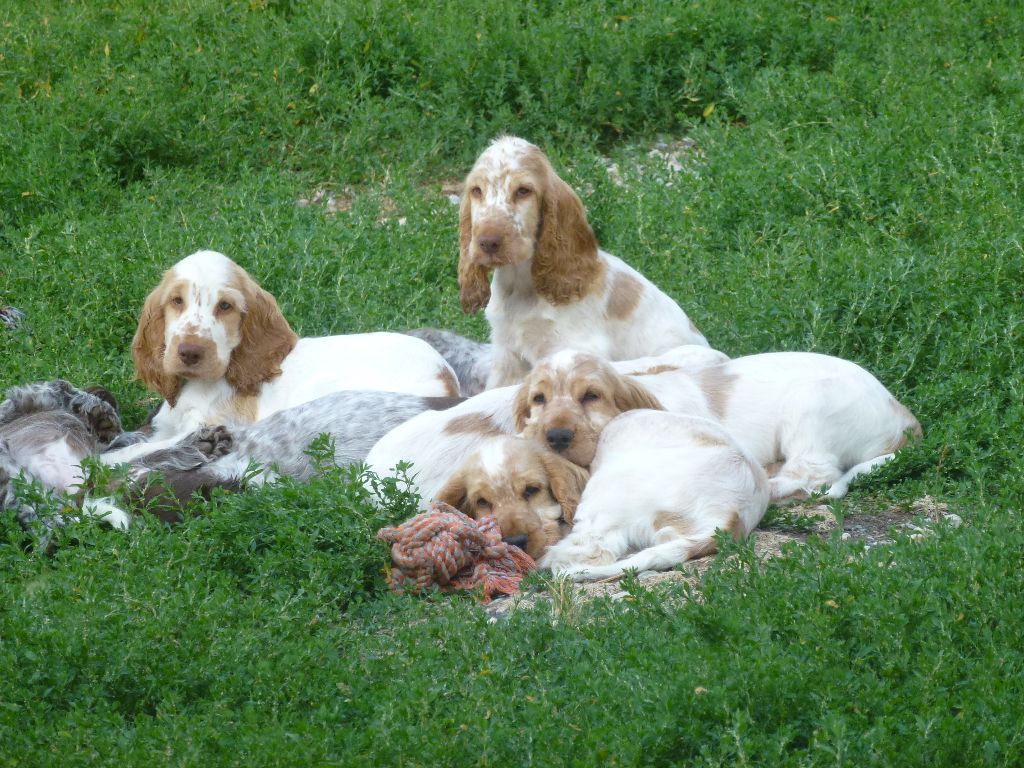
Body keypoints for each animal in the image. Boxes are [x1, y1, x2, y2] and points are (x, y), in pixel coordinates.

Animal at [103, 249, 456, 462]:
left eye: (225, 306)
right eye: (176, 301)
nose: (190, 351)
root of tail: (445, 377)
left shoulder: (208, 424)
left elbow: (132, 451)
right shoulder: (167, 426)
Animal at [458, 137, 708, 391]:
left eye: (523, 191)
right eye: (476, 191)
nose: (487, 242)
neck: (521, 282)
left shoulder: (570, 346)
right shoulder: (507, 355)